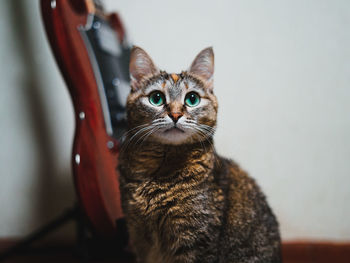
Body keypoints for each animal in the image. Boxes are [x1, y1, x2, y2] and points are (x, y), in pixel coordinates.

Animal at [118, 46, 282, 262]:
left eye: (192, 99)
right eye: (156, 98)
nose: (176, 114)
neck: (158, 172)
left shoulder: (196, 240)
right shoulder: (137, 233)